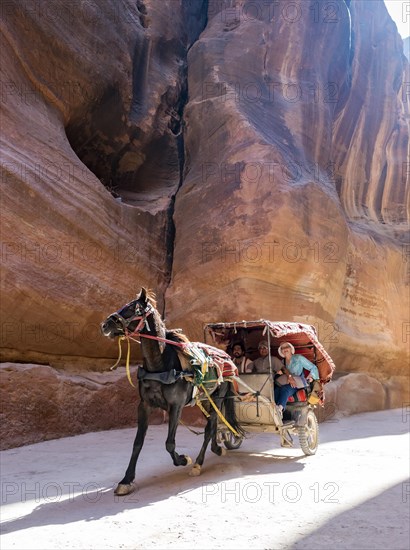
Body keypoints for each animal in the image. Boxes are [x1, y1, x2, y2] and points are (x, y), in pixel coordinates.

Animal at [100, 288, 242, 496]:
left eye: (134, 308)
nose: (105, 325)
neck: (161, 365)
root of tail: (227, 358)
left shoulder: (176, 406)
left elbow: (169, 443)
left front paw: (183, 459)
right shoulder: (144, 405)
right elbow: (137, 442)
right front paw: (126, 480)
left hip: (218, 396)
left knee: (209, 428)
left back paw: (198, 464)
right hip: (205, 400)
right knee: (214, 424)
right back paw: (216, 449)